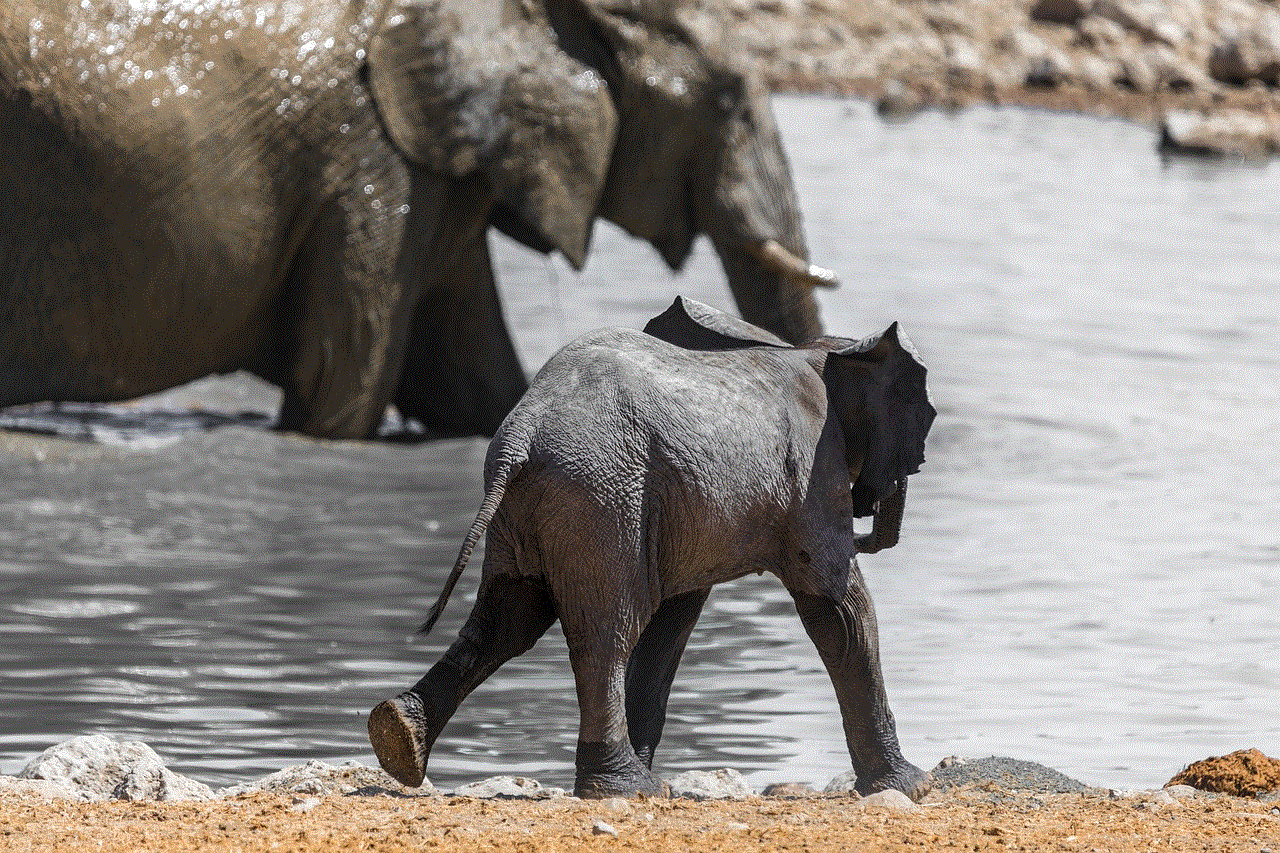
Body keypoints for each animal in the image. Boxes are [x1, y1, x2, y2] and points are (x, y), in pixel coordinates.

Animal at [366, 294, 936, 799]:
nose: (871, 522)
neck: (821, 351)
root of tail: (522, 434)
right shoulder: (814, 476)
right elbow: (839, 612)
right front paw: (912, 787)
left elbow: (673, 622)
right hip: (602, 496)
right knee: (606, 631)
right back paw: (627, 788)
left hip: (544, 507)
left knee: (508, 618)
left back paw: (398, 738)